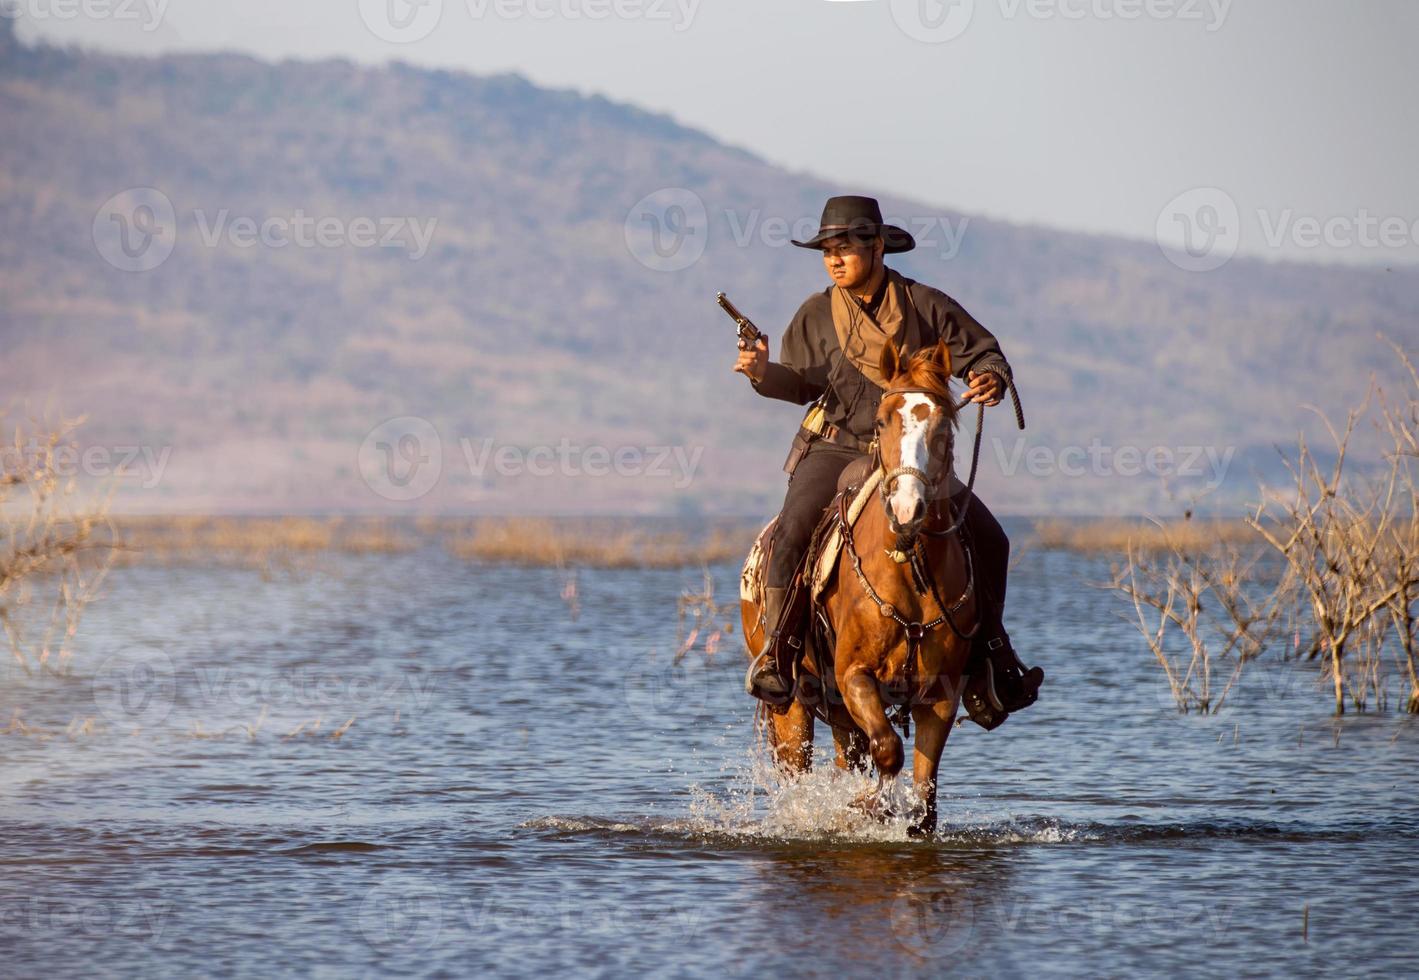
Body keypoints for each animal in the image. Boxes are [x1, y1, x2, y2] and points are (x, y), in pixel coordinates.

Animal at [743, 338, 976, 833]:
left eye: (944, 427)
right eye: (883, 420)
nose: (908, 510)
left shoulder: (941, 694)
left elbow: (924, 795)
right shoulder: (854, 676)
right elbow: (888, 750)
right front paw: (867, 806)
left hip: (836, 710)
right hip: (794, 706)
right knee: (798, 770)